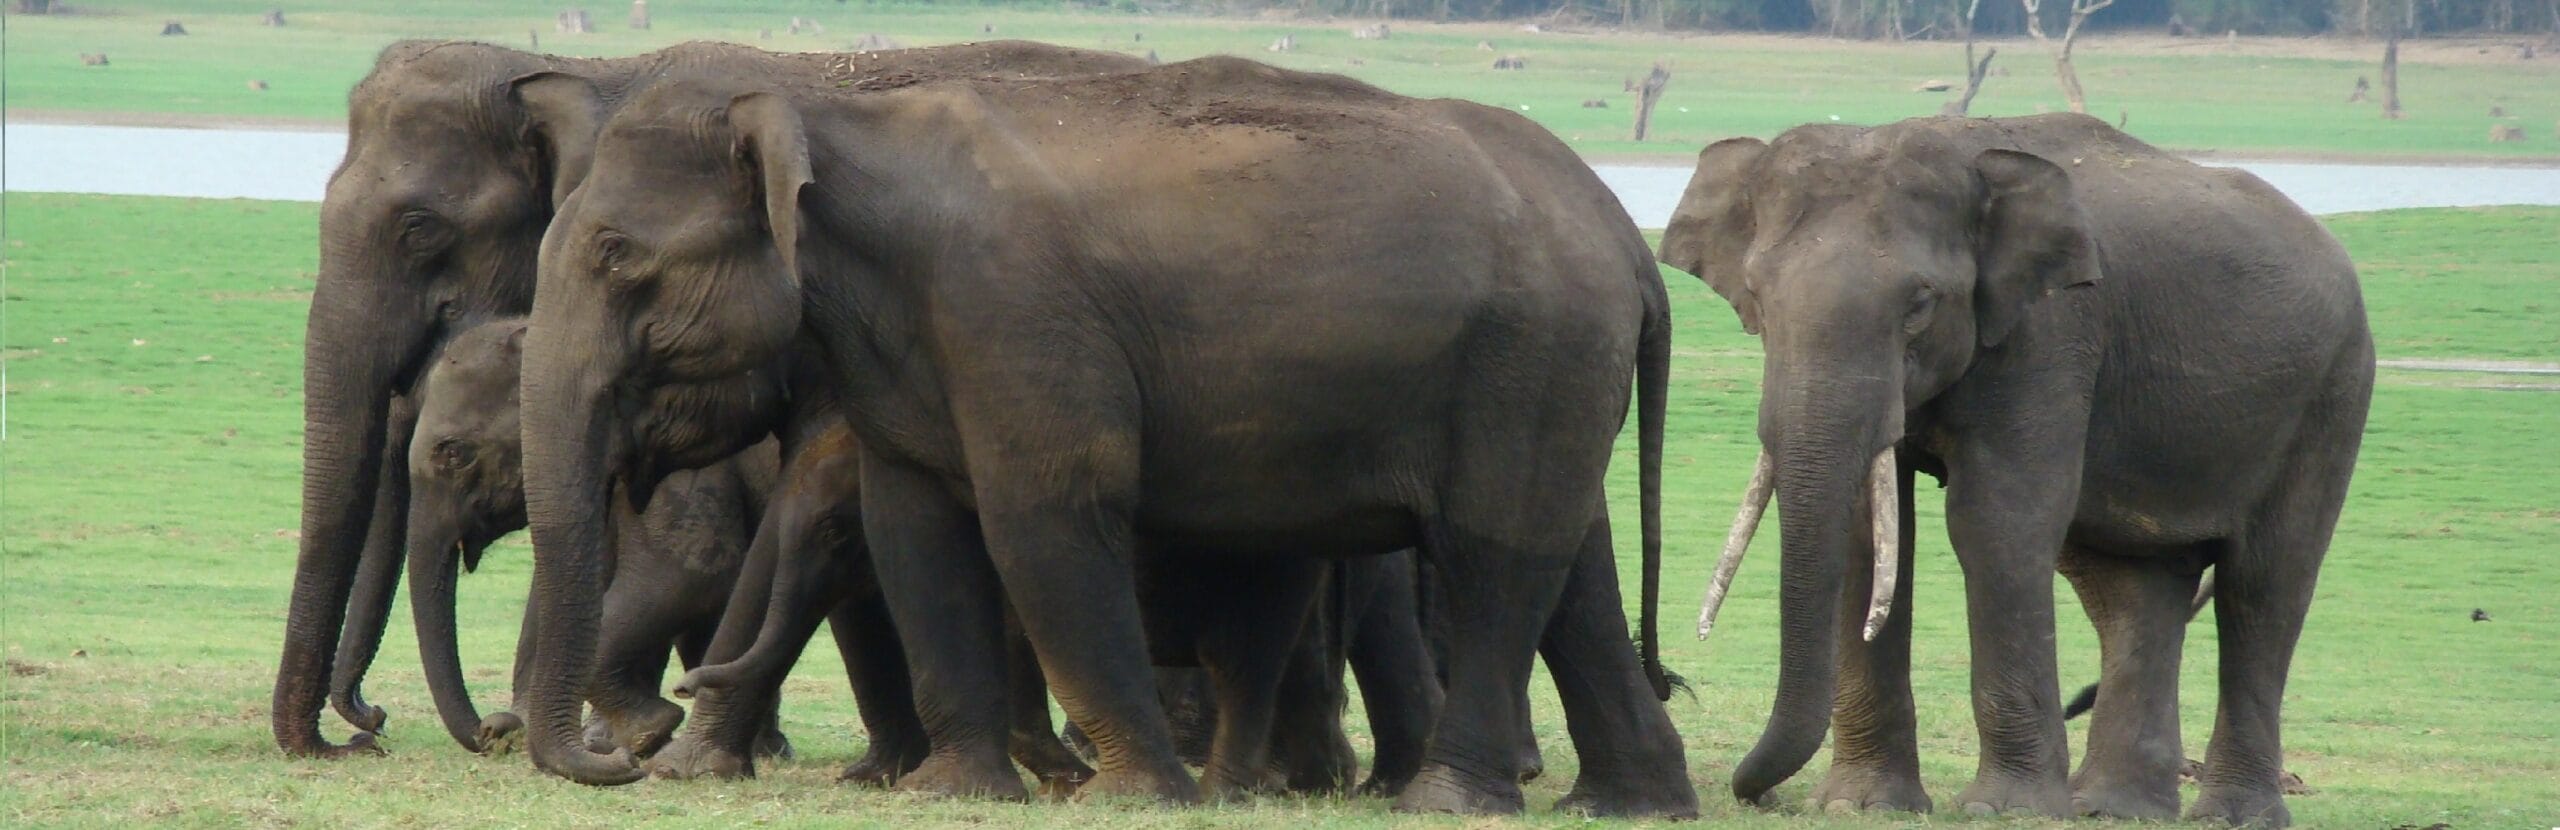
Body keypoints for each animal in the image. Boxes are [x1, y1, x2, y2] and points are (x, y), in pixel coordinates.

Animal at [506, 55, 1693, 818]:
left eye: (615, 256)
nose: (632, 755)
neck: (832, 112)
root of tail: (1630, 245)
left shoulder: (1014, 316)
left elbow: (1046, 512)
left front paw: (1132, 795)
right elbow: (916, 527)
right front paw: (957, 789)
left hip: (1527, 360)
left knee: (1496, 553)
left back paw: (1445, 801)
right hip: (1549, 374)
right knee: (1570, 563)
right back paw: (1634, 802)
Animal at [1656, 113, 2371, 827]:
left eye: (1920, 304)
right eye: (1756, 295)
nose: (1758, 795)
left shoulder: (2051, 329)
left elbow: (1997, 523)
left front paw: (2003, 808)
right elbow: (1869, 534)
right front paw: (1864, 805)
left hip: (2333, 392)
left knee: (2264, 586)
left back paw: (2230, 815)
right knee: (2131, 588)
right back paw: (2114, 808)